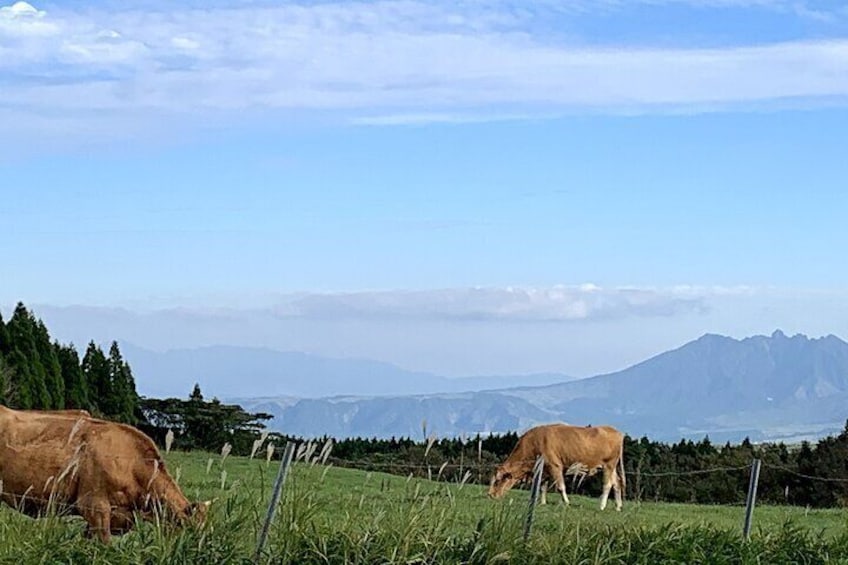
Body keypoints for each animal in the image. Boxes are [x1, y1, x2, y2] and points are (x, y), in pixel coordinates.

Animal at [486, 424, 628, 512]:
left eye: (497, 481)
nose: (491, 495)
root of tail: (616, 432)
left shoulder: (555, 465)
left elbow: (560, 487)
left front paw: (566, 503)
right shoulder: (544, 469)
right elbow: (542, 486)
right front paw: (542, 502)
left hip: (608, 465)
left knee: (608, 484)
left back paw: (602, 506)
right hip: (611, 467)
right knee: (617, 483)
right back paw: (618, 506)